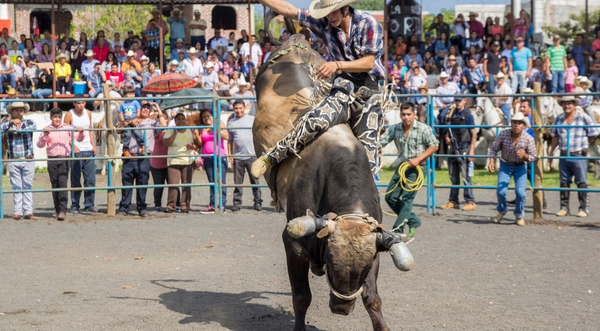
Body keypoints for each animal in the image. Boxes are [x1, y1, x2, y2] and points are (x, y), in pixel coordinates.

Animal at [252, 34, 412, 331]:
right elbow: (301, 297)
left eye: (362, 271)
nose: (341, 308)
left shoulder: (375, 247)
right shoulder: (293, 244)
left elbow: (372, 299)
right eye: (331, 262)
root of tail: (297, 40)